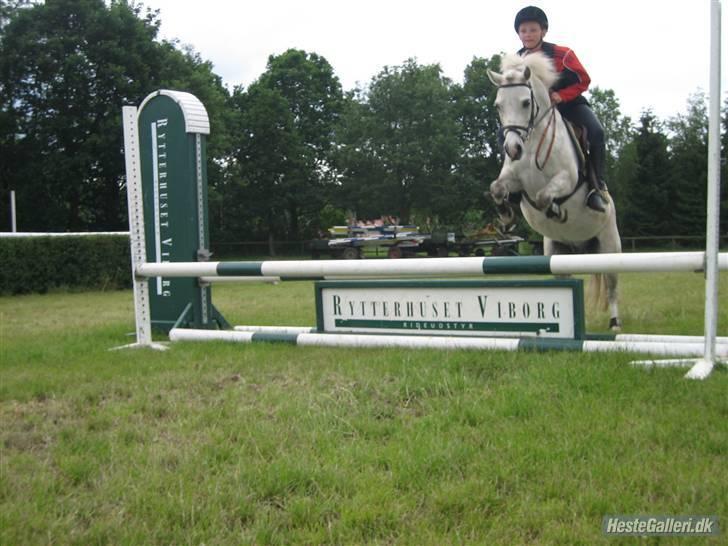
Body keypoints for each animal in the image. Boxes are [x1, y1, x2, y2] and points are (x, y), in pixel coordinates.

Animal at [486, 53, 624, 330]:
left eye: (526, 102)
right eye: (498, 105)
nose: (512, 149)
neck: (531, 143)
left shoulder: (566, 179)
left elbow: (544, 196)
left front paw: (555, 210)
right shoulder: (512, 179)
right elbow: (497, 187)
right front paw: (506, 218)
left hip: (609, 244)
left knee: (612, 285)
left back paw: (615, 323)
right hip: (556, 252)